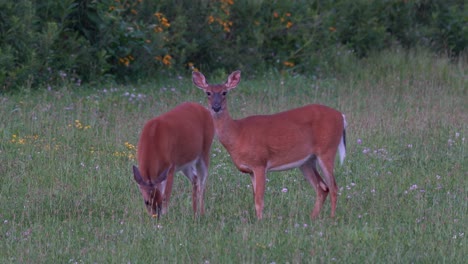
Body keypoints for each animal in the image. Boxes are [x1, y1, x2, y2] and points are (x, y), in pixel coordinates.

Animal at [191, 70, 348, 219]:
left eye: (225, 92)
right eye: (208, 92)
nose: (216, 107)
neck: (238, 133)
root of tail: (341, 117)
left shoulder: (260, 163)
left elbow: (259, 200)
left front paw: (260, 221)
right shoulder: (250, 170)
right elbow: (255, 197)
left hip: (327, 149)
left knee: (334, 187)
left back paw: (332, 218)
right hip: (307, 161)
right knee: (322, 188)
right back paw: (313, 217)